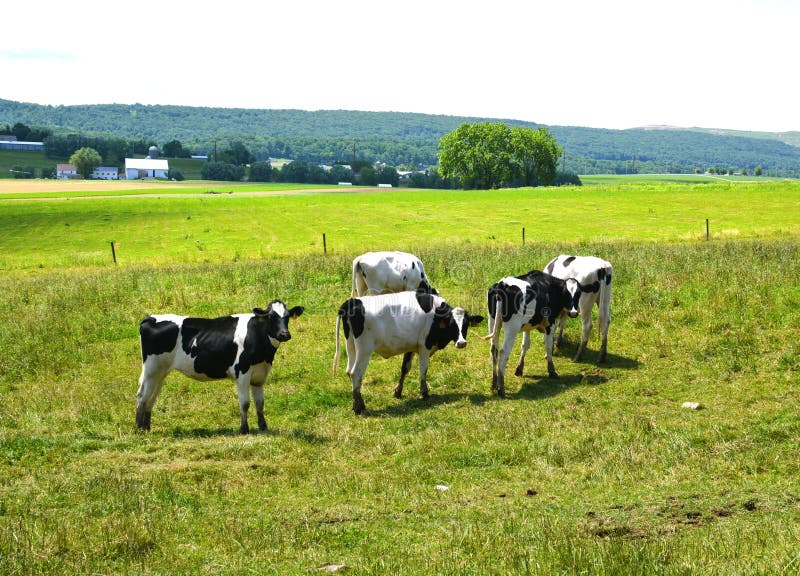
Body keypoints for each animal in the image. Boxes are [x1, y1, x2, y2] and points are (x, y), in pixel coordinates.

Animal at [137, 302, 304, 432]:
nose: (284, 334)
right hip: (151, 369)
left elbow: (260, 403)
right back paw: (139, 429)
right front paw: (244, 429)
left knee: (151, 397)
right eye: (271, 317)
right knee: (142, 395)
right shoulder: (242, 372)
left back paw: (147, 427)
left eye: (287, 316)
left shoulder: (260, 375)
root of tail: (150, 318)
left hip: (161, 372)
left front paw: (263, 427)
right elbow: (245, 403)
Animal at [332, 292, 482, 414]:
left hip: (351, 345)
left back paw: (358, 403)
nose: (461, 343)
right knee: (355, 373)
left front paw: (398, 391)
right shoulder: (424, 346)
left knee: (349, 371)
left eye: (466, 325)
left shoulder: (411, 346)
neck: (436, 314)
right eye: (452, 324)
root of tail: (353, 302)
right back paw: (358, 407)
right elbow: (423, 370)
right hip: (364, 350)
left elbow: (405, 368)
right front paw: (424, 393)